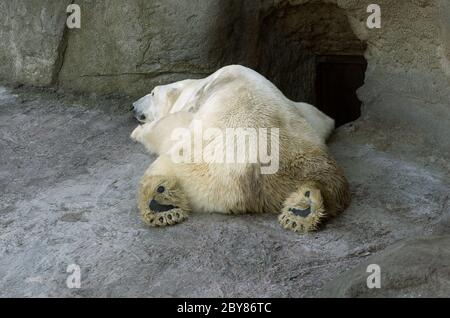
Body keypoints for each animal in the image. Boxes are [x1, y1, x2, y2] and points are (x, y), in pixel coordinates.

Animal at [129, 65, 348, 234]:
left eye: (153, 92)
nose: (132, 106)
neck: (203, 83)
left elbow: (167, 127)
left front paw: (139, 131)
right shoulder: (303, 112)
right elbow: (321, 117)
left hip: (198, 171)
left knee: (163, 168)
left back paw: (161, 205)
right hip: (310, 163)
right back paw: (303, 209)